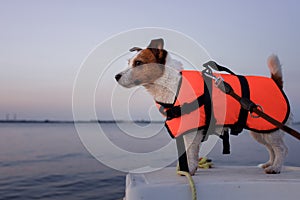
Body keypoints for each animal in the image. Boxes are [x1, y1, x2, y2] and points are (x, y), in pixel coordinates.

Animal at [114, 38, 288, 175]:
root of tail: (275, 82)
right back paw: (269, 164)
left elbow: (190, 153)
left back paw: (276, 168)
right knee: (272, 149)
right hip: (261, 130)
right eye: (128, 63)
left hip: (270, 130)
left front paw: (189, 170)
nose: (116, 76)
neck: (172, 83)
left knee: (281, 149)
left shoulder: (192, 131)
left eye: (138, 63)